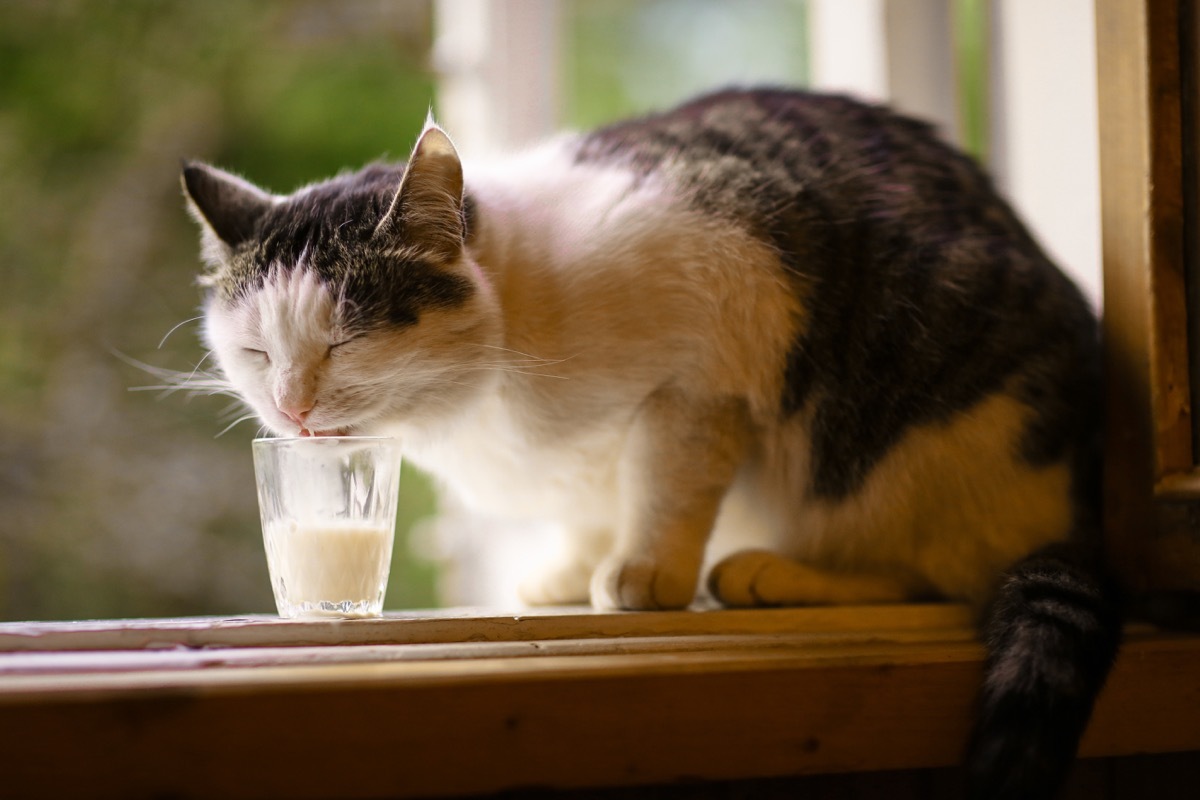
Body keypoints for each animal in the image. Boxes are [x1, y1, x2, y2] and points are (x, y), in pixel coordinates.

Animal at [182, 89, 1118, 800]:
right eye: (256, 351)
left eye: (342, 342)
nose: (292, 407)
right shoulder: (589, 458)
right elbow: (592, 505)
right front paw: (570, 572)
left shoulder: (706, 368)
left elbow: (668, 483)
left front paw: (643, 575)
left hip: (925, 442)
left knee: (932, 572)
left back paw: (773, 574)